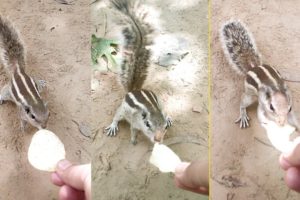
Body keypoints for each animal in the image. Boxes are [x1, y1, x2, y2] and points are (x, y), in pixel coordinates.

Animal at [105, 0, 171, 145]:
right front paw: (134, 140)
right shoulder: (134, 122)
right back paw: (113, 126)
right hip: (123, 110)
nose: (158, 140)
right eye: (148, 124)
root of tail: (134, 90)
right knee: (117, 115)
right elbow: (133, 130)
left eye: (164, 128)